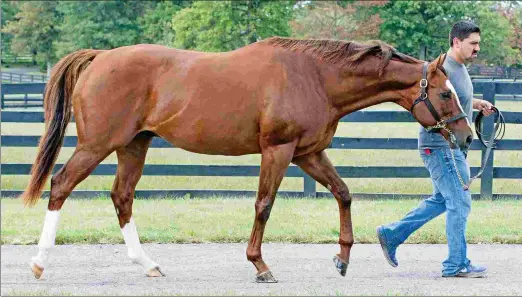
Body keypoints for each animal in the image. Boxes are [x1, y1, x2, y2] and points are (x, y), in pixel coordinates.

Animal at [21, 36, 472, 280]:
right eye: (444, 92)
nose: (467, 136)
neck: (315, 77)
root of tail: (100, 57)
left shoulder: (308, 154)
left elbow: (343, 193)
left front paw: (342, 258)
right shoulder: (278, 151)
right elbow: (264, 205)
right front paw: (260, 266)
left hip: (135, 145)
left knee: (122, 197)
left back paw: (148, 264)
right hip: (97, 145)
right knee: (61, 186)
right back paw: (39, 263)